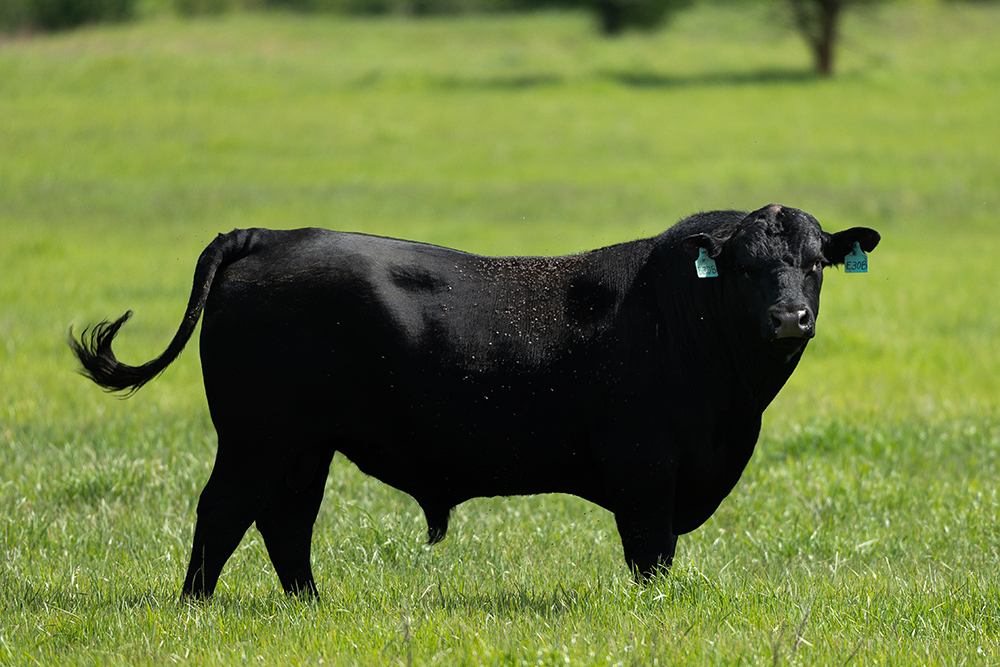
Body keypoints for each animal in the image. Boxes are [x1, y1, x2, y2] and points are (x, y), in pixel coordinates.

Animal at [70, 205, 880, 600]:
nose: (789, 317)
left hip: (303, 445)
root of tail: (271, 234)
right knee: (223, 512)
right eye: (745, 267)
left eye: (814, 264)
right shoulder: (646, 468)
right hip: (256, 437)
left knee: (285, 521)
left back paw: (310, 604)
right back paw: (195, 605)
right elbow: (650, 554)